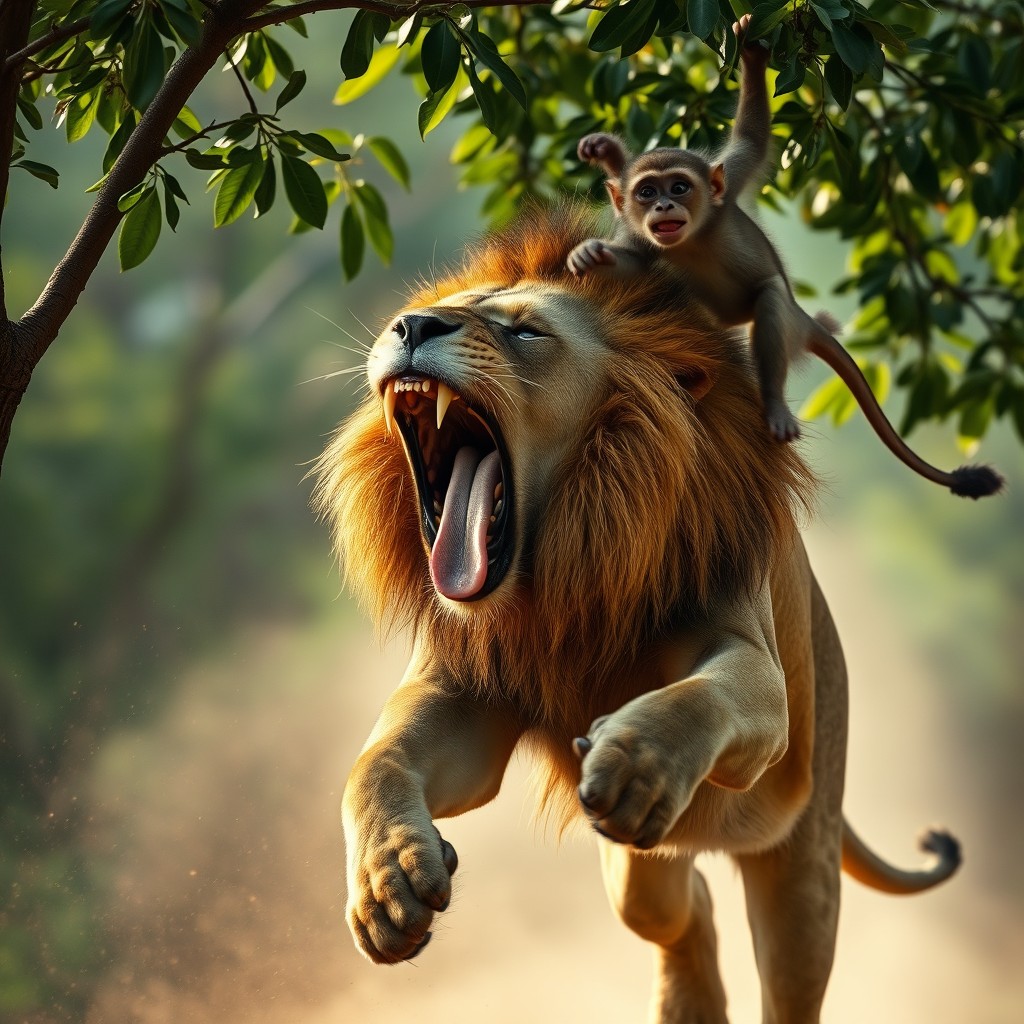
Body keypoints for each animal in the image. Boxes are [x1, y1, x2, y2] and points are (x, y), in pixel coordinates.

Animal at [313, 205, 961, 1022]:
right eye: (435, 311)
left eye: (526, 333)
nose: (411, 325)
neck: (560, 579)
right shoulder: (458, 691)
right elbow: (376, 762)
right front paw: (388, 877)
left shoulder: (754, 670)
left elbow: (703, 696)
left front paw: (636, 764)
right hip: (638, 871)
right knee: (684, 912)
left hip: (801, 865)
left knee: (789, 977)